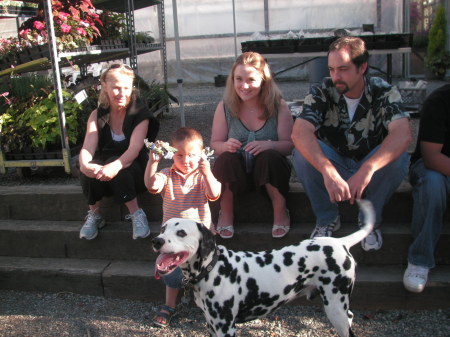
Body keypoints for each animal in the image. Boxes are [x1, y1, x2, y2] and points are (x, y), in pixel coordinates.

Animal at [153, 200, 374, 336]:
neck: (214, 269)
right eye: (163, 228)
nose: (157, 240)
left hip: (335, 307)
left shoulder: (226, 328)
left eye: (181, 232)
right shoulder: (212, 326)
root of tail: (340, 242)